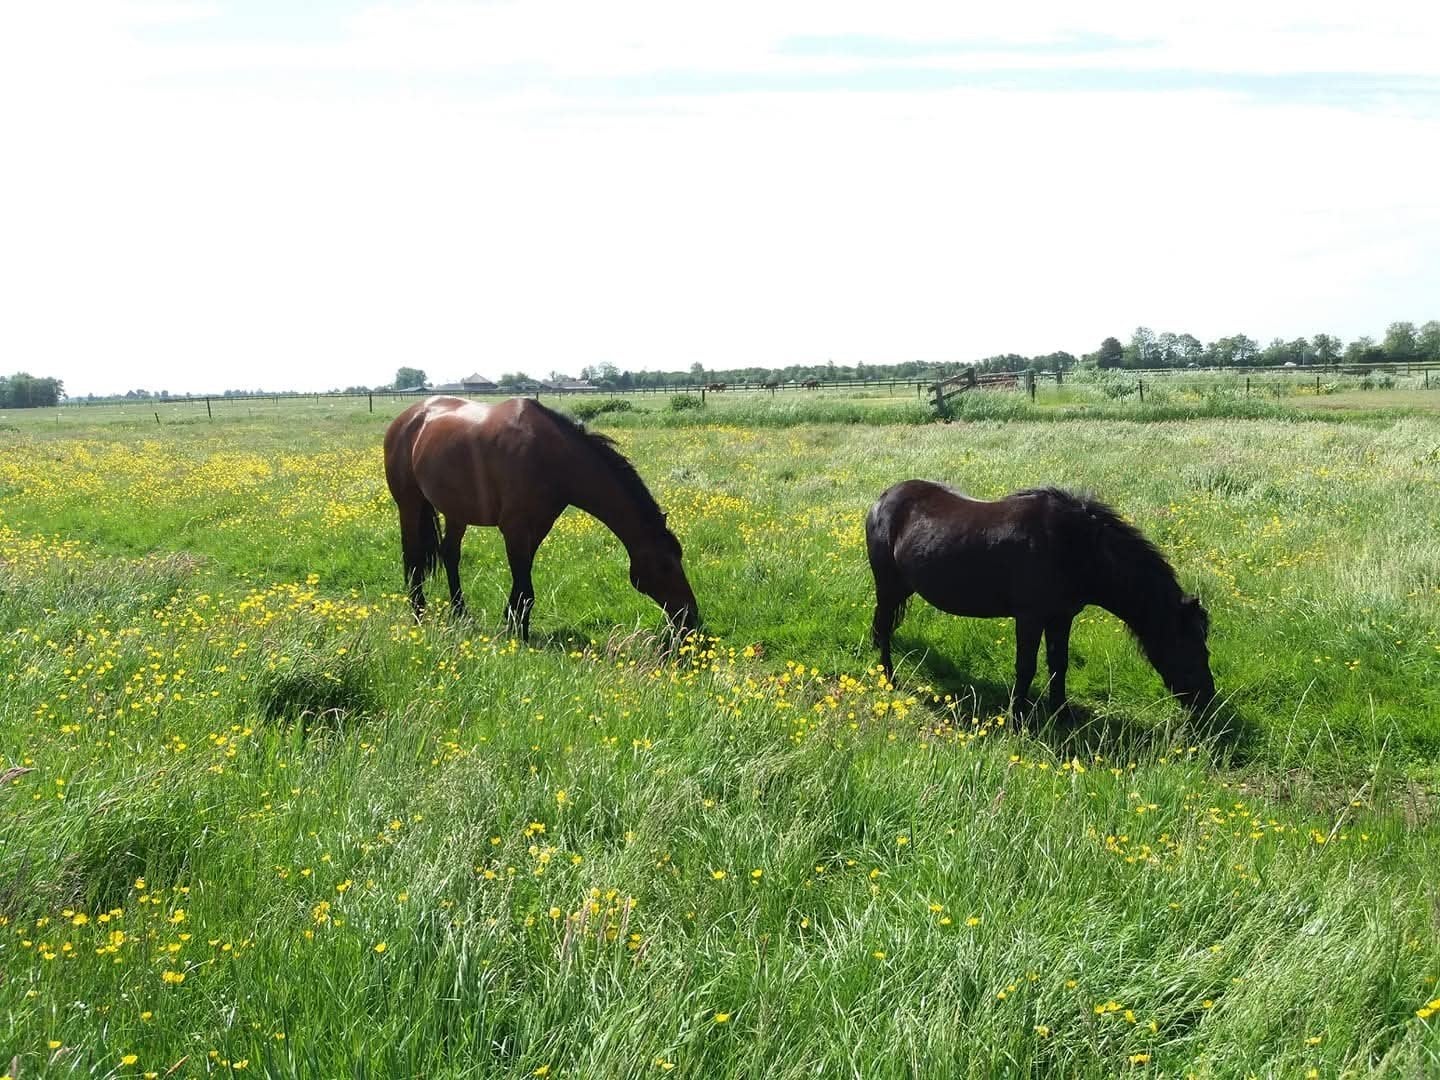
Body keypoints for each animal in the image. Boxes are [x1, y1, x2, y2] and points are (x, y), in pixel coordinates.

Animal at [384, 396, 700, 638]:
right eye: (665, 566)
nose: (691, 617)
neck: (550, 457)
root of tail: (409, 417)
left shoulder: (536, 527)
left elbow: (522, 581)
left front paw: (513, 623)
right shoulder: (514, 529)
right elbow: (524, 583)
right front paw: (519, 633)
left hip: (456, 511)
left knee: (450, 554)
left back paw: (461, 614)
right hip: (409, 505)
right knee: (413, 557)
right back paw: (419, 613)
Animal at [865, 481, 1215, 715]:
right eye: (1191, 648)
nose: (1207, 701)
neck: (1074, 546)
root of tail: (885, 498)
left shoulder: (1061, 617)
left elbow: (1058, 664)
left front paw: (1060, 712)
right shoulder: (1029, 618)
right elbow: (1026, 666)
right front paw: (1017, 716)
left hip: (904, 587)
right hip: (888, 586)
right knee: (884, 628)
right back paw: (889, 678)